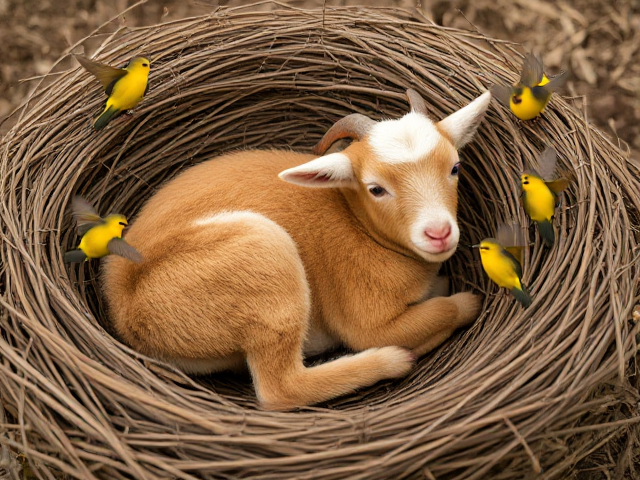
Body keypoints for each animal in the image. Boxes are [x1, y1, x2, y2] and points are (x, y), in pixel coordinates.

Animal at [102, 89, 492, 410]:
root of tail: (124, 308)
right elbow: (445, 308)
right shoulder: (364, 318)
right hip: (263, 260)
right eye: (376, 188)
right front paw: (455, 301)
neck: (357, 222)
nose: (439, 233)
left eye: (455, 167)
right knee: (281, 389)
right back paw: (390, 360)